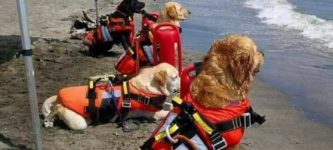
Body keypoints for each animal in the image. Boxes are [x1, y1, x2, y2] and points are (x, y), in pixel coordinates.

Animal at [42, 62, 180, 129]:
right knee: (58, 108)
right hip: (79, 123)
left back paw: (50, 120)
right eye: (175, 77)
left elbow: (169, 105)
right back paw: (49, 118)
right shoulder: (154, 114)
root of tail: (58, 96)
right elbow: (169, 111)